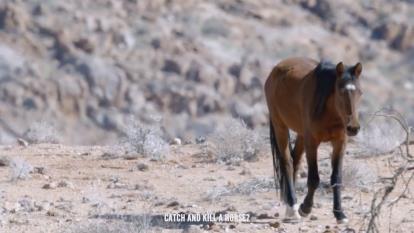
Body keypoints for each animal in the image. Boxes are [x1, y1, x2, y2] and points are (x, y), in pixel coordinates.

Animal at [266, 57, 362, 223]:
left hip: (301, 134)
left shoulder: (340, 143)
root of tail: (275, 70)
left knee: (295, 160)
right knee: (287, 162)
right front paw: (305, 208)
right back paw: (293, 207)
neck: (331, 113)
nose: (353, 127)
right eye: (341, 92)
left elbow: (336, 178)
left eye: (360, 93)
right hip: (280, 127)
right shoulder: (312, 142)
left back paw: (289, 205)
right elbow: (313, 178)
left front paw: (340, 214)